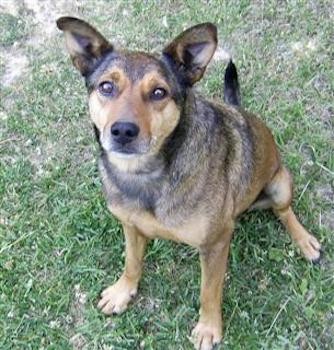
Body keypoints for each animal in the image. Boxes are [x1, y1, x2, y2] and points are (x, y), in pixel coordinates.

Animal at [56, 18, 320, 350]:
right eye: (106, 86)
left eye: (159, 92)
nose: (123, 131)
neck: (148, 174)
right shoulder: (130, 225)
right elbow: (131, 262)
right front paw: (122, 291)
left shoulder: (215, 243)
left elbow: (209, 291)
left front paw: (208, 328)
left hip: (280, 183)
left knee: (284, 212)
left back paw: (304, 241)